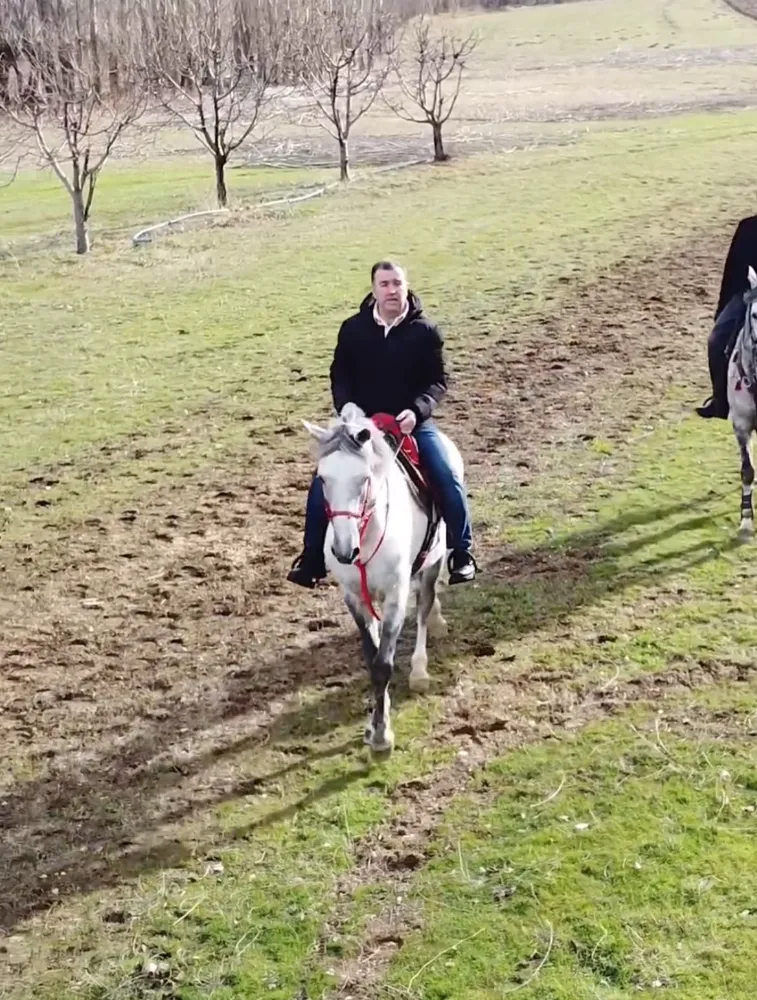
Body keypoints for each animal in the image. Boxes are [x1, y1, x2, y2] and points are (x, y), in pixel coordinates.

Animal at [302, 402, 460, 752]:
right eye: (323, 479)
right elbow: (372, 655)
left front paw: (381, 736)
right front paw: (377, 720)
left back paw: (420, 669)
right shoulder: (354, 597)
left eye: (364, 478)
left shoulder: (395, 595)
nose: (344, 550)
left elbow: (383, 662)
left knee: (424, 607)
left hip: (433, 561)